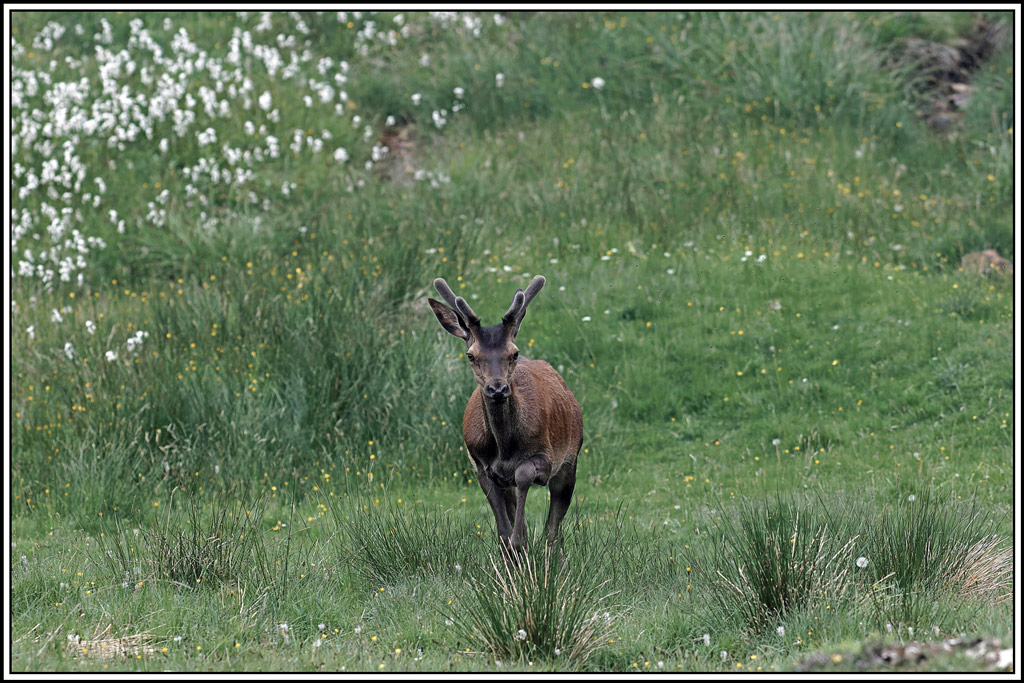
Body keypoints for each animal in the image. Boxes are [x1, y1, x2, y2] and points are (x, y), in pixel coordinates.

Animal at [428, 275, 583, 556]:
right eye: (471, 355)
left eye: (514, 353)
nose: (497, 389)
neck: (505, 449)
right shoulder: (480, 465)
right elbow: (503, 532)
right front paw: (512, 550)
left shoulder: (546, 457)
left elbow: (524, 476)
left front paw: (519, 543)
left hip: (570, 460)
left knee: (553, 529)